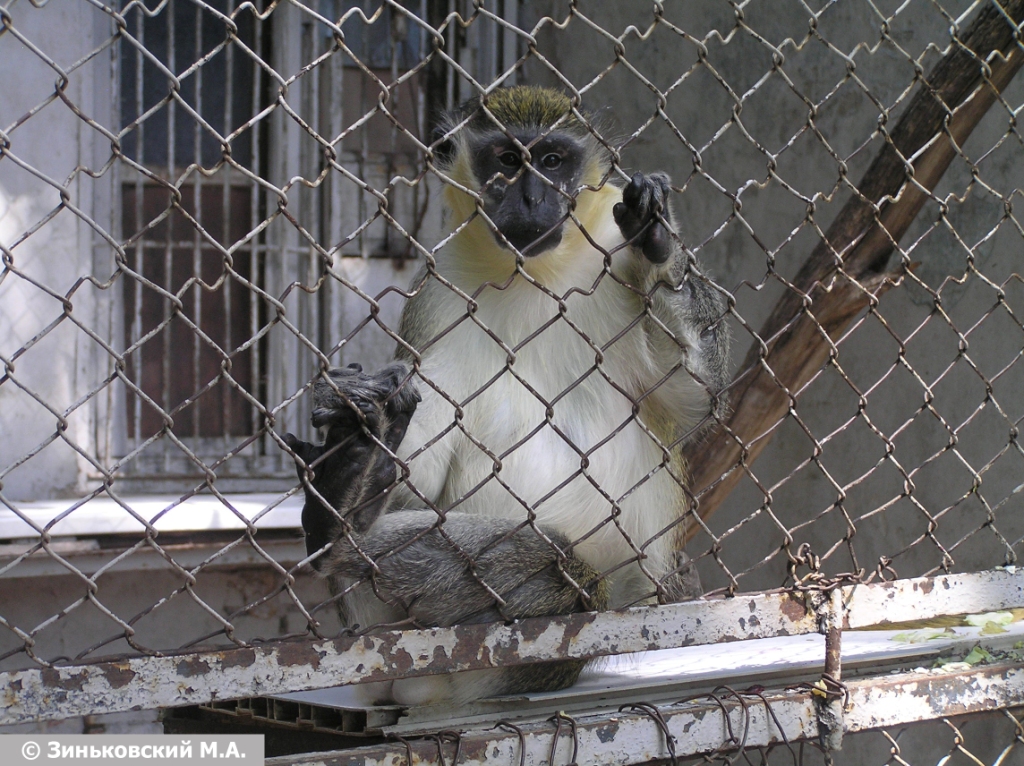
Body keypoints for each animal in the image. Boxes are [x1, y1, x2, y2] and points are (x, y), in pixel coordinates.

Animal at [284, 86, 730, 706]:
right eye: (506, 160)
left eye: (552, 161)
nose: (531, 197)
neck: (532, 271)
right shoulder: (440, 292)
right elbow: (418, 478)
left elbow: (697, 398)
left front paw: (658, 241)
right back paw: (345, 496)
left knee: (566, 576)